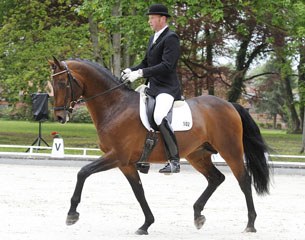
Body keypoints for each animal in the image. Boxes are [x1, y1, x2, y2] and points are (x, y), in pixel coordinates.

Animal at [48, 57, 270, 234]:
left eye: (63, 83)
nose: (59, 117)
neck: (115, 106)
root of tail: (229, 104)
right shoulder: (125, 163)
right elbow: (138, 192)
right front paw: (146, 224)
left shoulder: (117, 156)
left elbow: (83, 172)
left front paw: (72, 214)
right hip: (198, 155)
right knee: (216, 178)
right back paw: (198, 215)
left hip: (230, 151)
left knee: (243, 180)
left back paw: (250, 224)